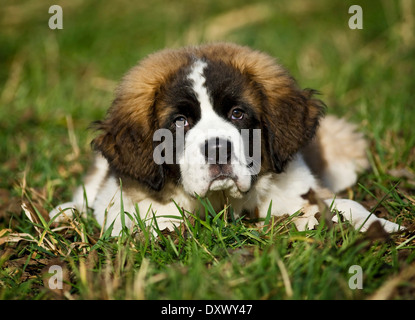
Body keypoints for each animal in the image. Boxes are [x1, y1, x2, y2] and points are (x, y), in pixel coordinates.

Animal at [49, 42, 404, 235]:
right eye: (179, 121)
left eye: (237, 114)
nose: (218, 149)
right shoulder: (124, 206)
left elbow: (343, 204)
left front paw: (381, 228)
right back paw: (65, 213)